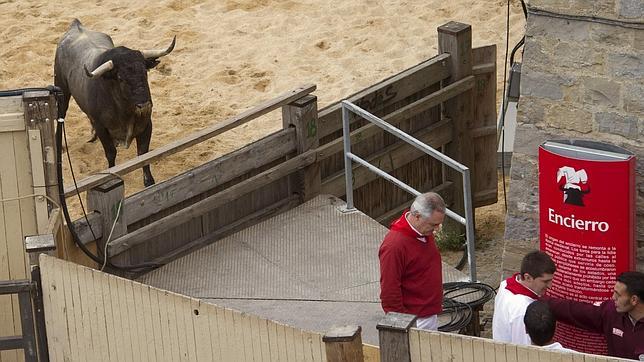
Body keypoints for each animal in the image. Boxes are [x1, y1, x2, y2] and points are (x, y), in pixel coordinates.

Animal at [54, 18, 175, 187]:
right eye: (120, 78)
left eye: (145, 72)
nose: (144, 105)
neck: (124, 111)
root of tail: (75, 25)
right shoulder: (102, 128)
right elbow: (111, 153)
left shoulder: (146, 124)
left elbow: (143, 153)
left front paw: (149, 181)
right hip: (62, 89)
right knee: (61, 114)